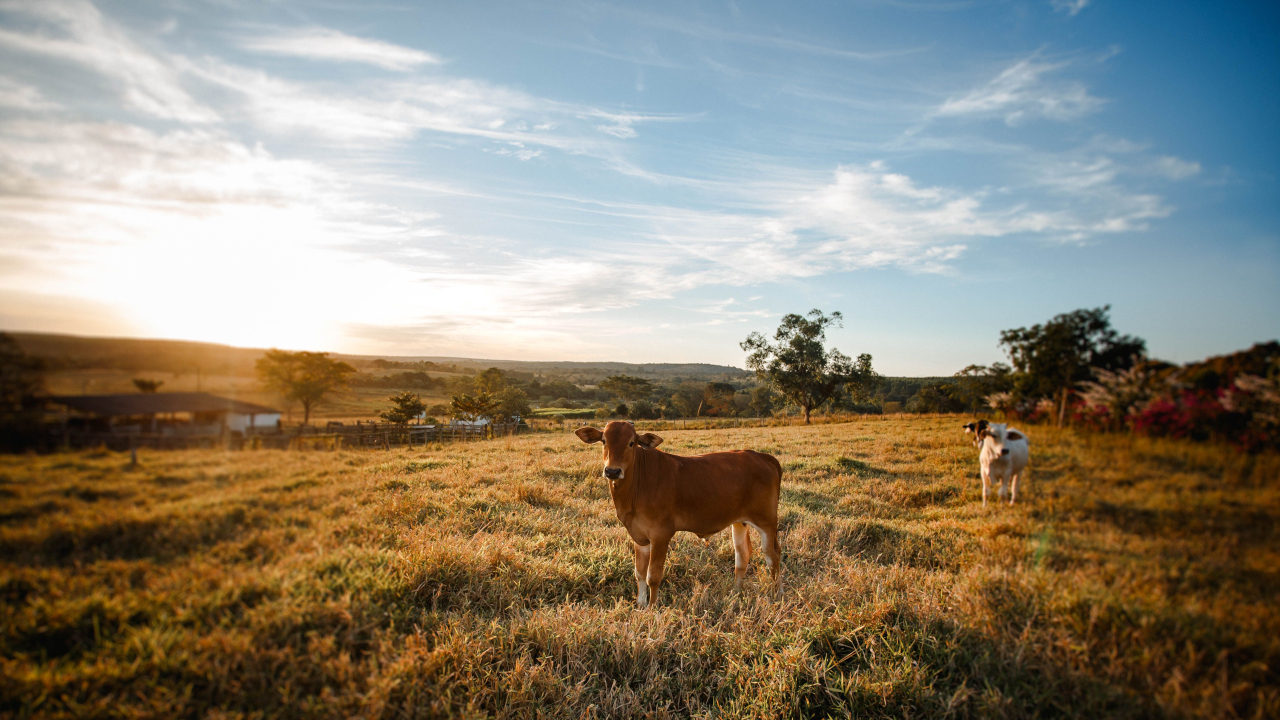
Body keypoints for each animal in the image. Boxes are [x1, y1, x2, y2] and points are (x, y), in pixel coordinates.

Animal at [575, 421, 782, 609]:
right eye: (603, 441)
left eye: (631, 442)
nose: (612, 471)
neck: (635, 487)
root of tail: (759, 455)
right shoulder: (639, 536)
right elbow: (639, 572)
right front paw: (641, 605)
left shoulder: (661, 535)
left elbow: (653, 576)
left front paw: (652, 608)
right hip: (739, 522)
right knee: (742, 556)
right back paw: (735, 593)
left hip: (767, 523)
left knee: (772, 556)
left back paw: (776, 594)